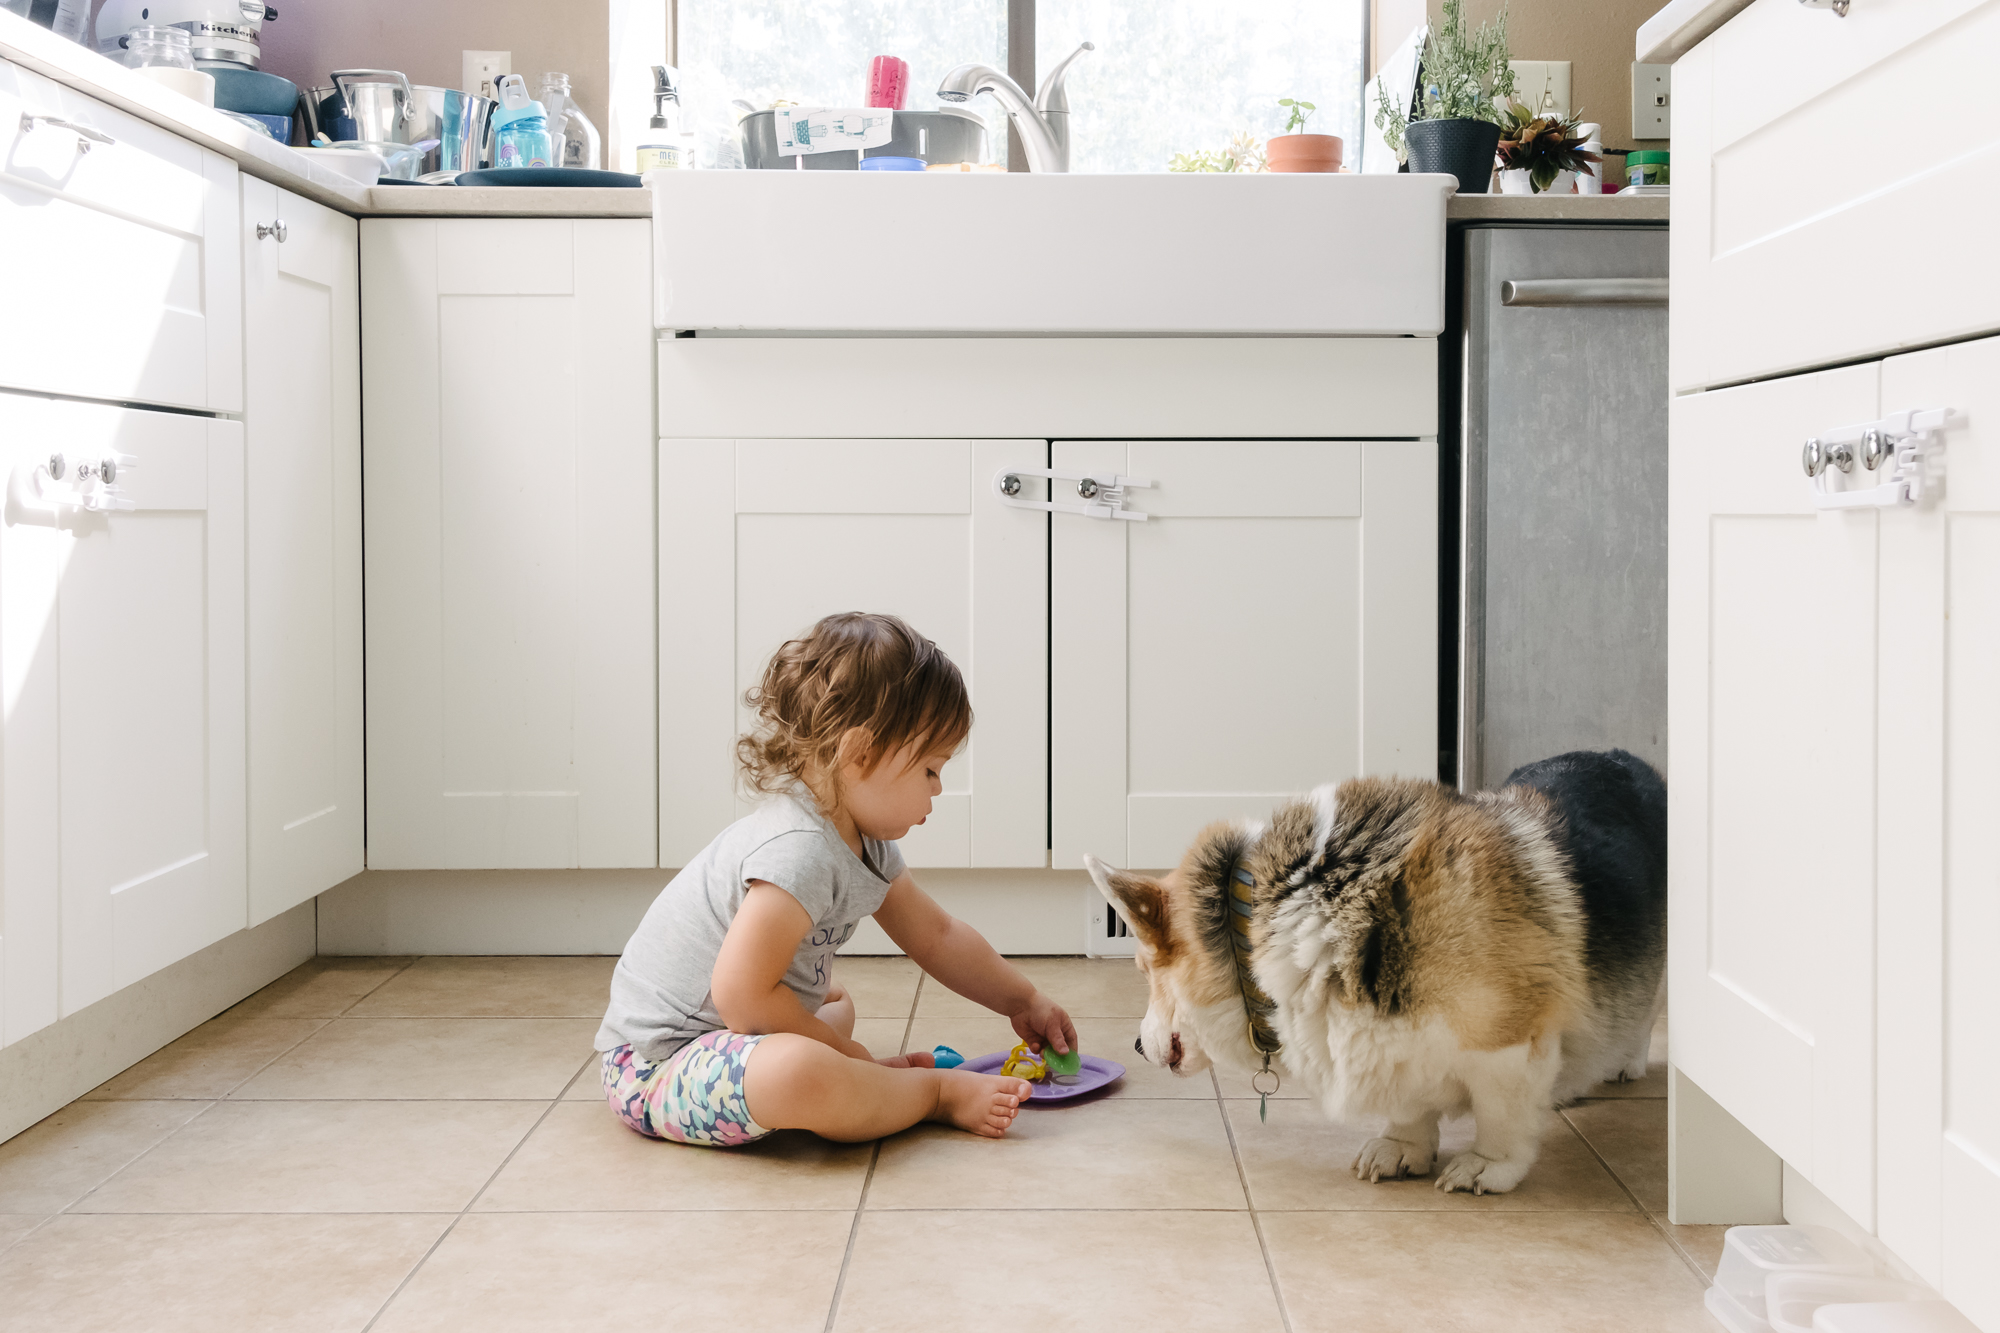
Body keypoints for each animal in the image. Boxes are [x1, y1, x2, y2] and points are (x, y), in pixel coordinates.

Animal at [1088, 748, 1664, 1192]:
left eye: (1144, 969)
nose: (1135, 1046)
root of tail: (1626, 759)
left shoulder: (1509, 1044)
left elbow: (1501, 1115)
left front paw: (1488, 1166)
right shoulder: (1391, 1047)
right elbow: (1410, 1103)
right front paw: (1401, 1148)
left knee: (1646, 1013)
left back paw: (1622, 1062)